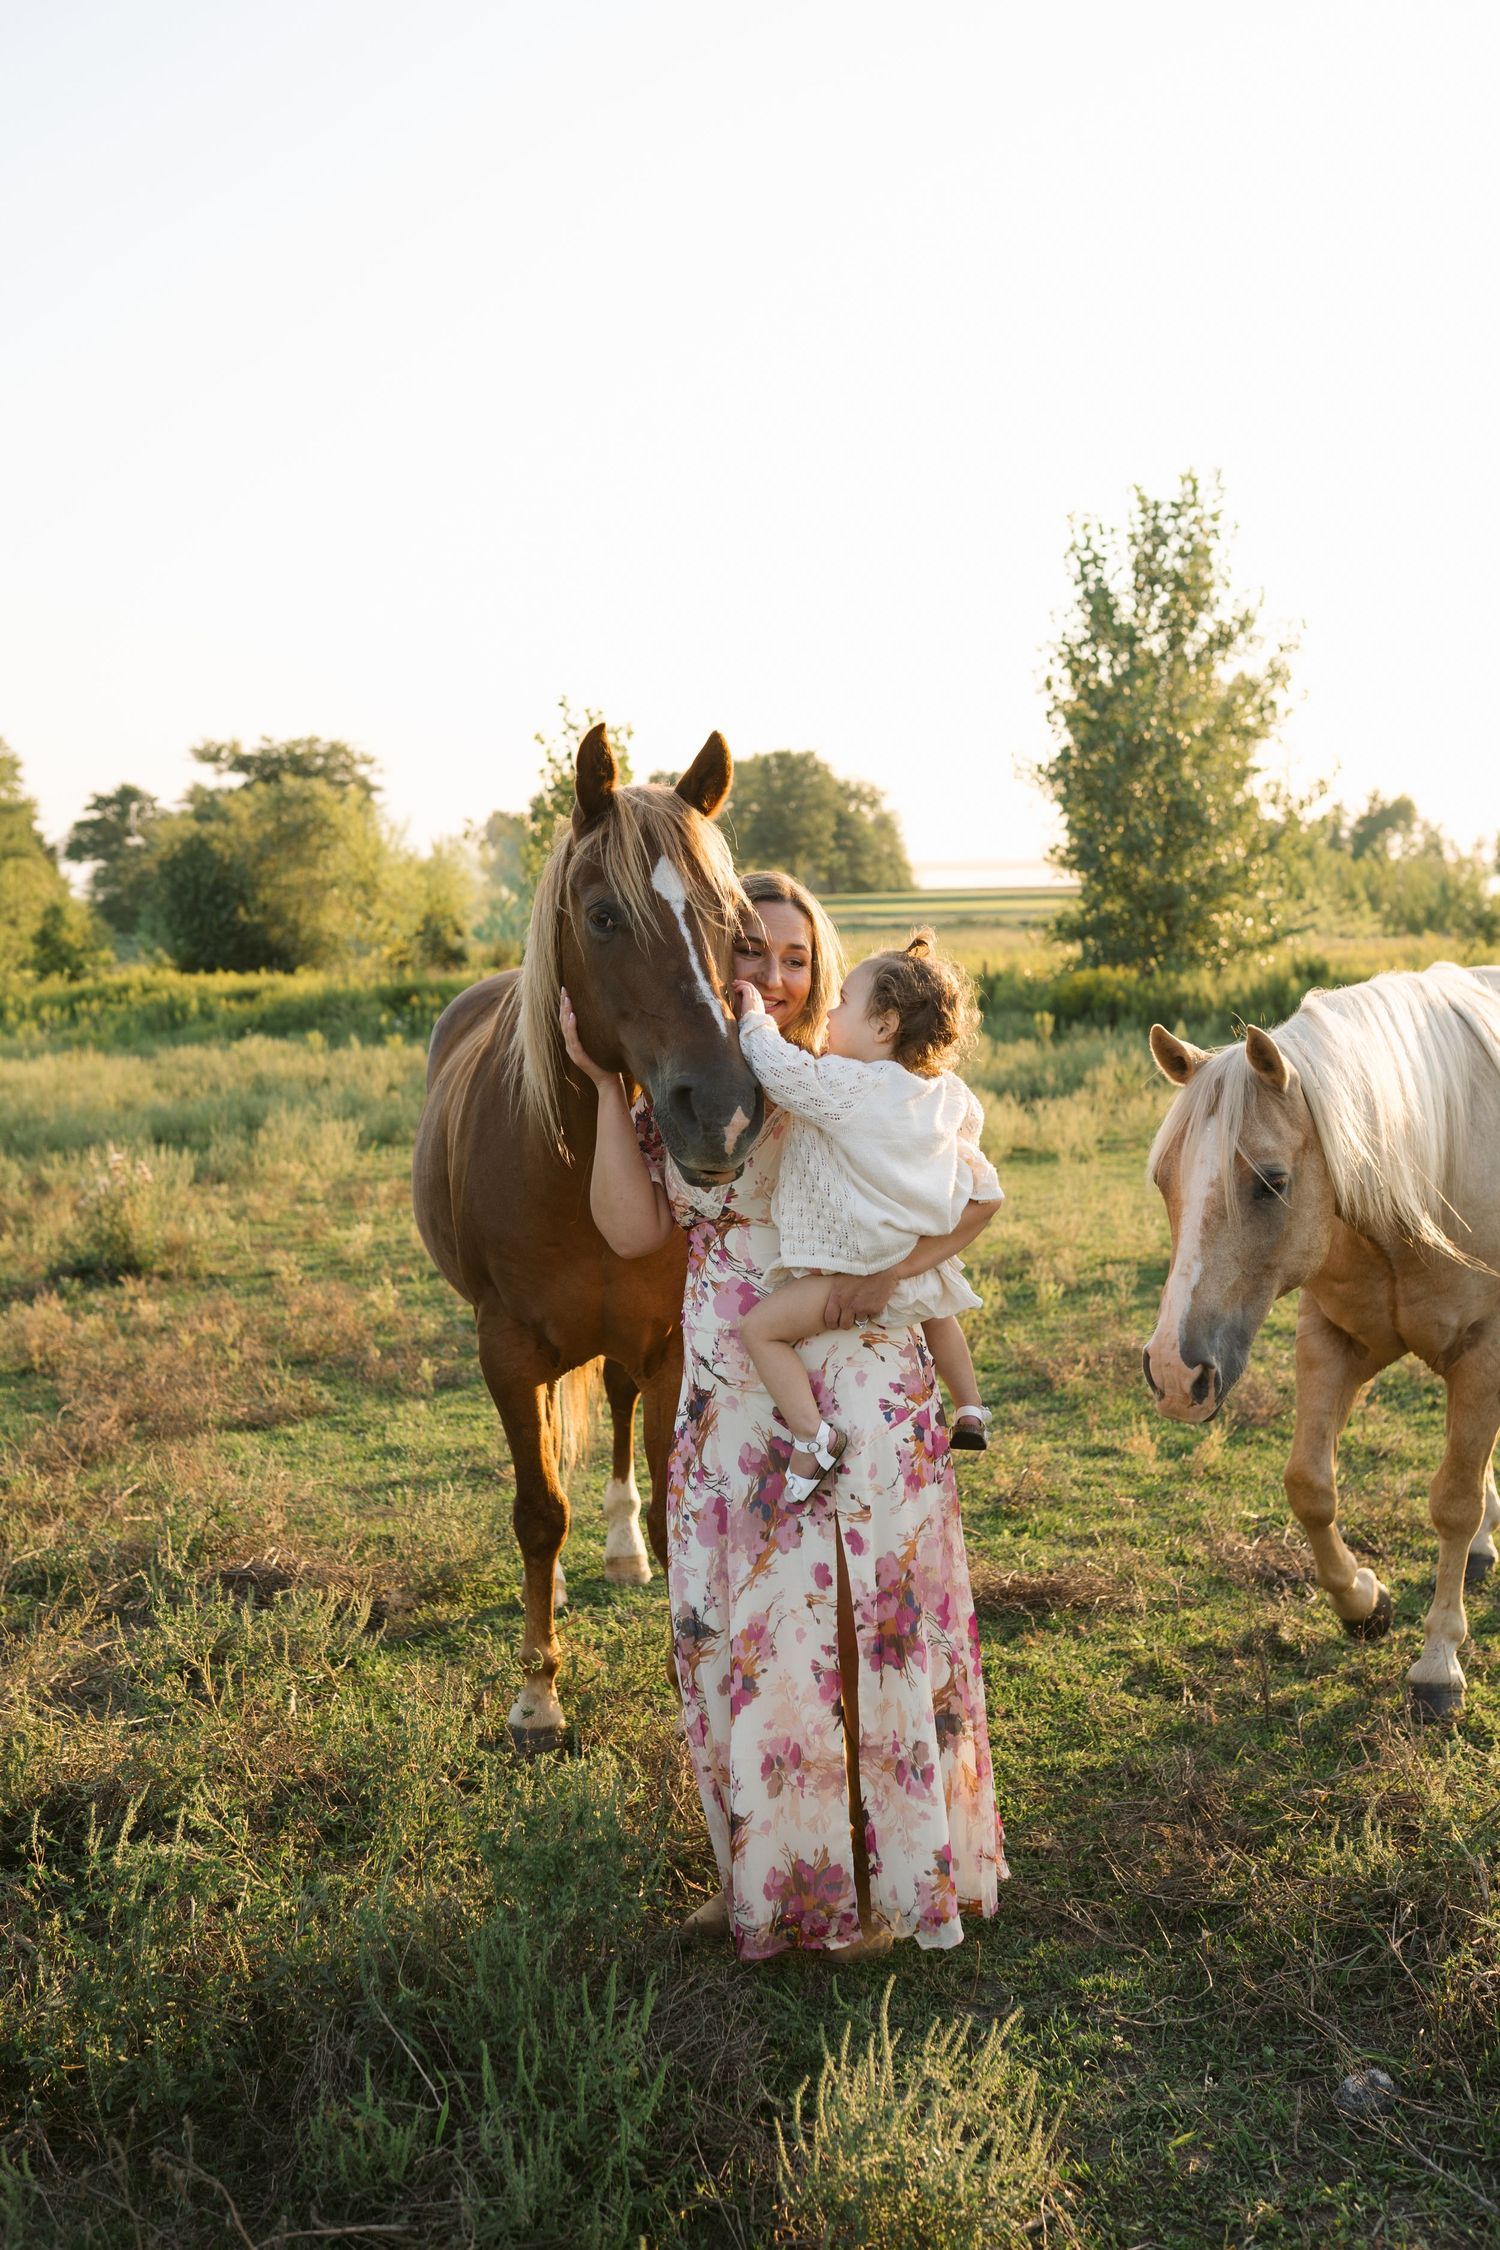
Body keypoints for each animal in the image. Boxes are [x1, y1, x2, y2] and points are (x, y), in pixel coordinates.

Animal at [412, 725, 763, 1751]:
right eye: (604, 916)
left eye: (735, 919)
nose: (723, 1113)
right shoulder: (504, 1348)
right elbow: (536, 1511)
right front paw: (537, 1696)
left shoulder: (670, 1340)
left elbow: (667, 1486)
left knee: (608, 1409)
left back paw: (620, 1549)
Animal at [1142, 961, 1500, 1719]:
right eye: (1162, 1179)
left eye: (1271, 1181)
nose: (1175, 1373)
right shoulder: (1332, 1340)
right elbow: (1309, 1485)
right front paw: (1363, 1602)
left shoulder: (1485, 1353)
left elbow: (1452, 1502)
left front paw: (1438, 1662)